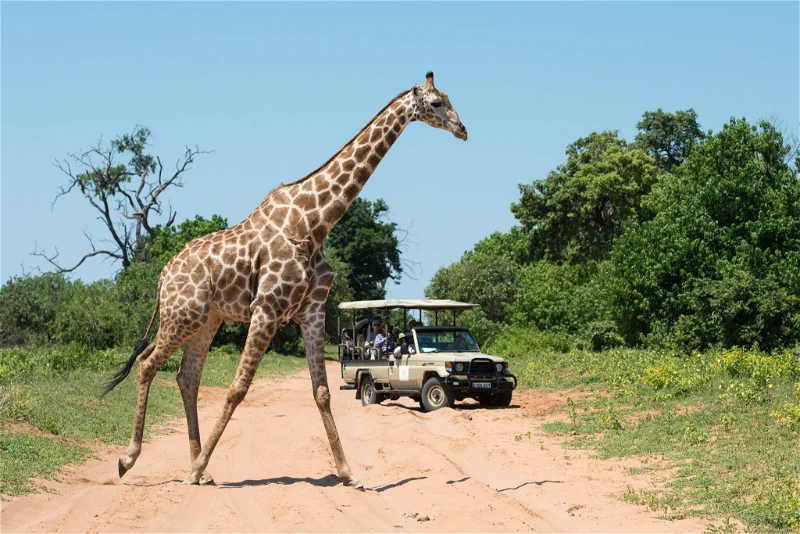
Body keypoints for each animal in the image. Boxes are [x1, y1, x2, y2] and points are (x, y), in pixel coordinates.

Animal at [104, 70, 468, 490]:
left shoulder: (311, 312)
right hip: (184, 314)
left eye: (449, 100)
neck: (315, 223)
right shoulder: (267, 308)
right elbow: (237, 388)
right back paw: (131, 460)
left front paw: (349, 474)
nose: (462, 129)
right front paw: (190, 470)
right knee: (148, 363)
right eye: (438, 103)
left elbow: (322, 392)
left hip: (208, 320)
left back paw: (202, 469)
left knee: (186, 377)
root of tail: (163, 276)